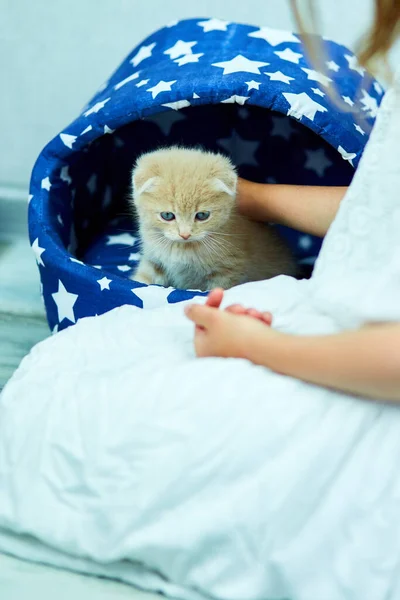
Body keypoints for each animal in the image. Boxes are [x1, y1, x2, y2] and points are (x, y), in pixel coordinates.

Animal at [129, 148, 296, 292]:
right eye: (168, 216)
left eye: (202, 215)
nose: (185, 235)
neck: (183, 248)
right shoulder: (153, 260)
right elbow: (143, 279)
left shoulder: (229, 270)